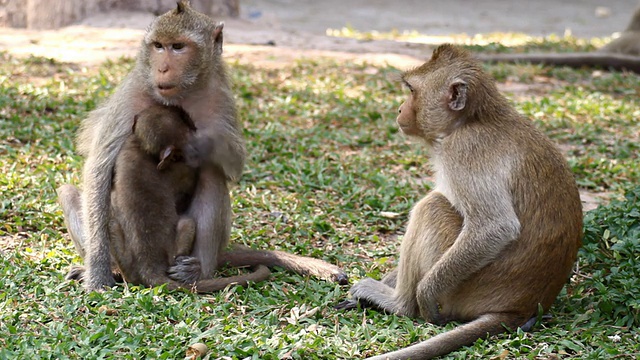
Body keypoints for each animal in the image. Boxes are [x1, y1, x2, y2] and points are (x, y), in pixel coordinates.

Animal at [57, 0, 348, 292]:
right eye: (158, 46)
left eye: (178, 47)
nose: (162, 68)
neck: (183, 93)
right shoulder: (132, 96)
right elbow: (99, 170)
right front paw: (98, 273)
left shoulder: (221, 97)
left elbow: (234, 163)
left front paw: (200, 143)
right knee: (70, 193)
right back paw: (114, 271)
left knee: (212, 174)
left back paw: (197, 271)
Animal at [340, 45, 584, 360]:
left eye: (411, 90)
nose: (399, 109)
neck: (471, 120)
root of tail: (521, 307)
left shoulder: (464, 151)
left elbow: (495, 227)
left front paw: (423, 296)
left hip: (466, 290)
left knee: (431, 207)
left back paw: (400, 304)